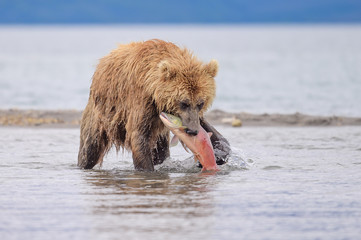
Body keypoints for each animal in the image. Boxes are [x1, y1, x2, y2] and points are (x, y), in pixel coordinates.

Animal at [78, 39, 231, 171]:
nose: (192, 131)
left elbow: (213, 133)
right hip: (100, 114)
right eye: (184, 103)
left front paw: (217, 154)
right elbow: (139, 136)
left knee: (161, 151)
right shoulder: (141, 100)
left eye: (201, 103)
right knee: (90, 147)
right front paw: (147, 170)